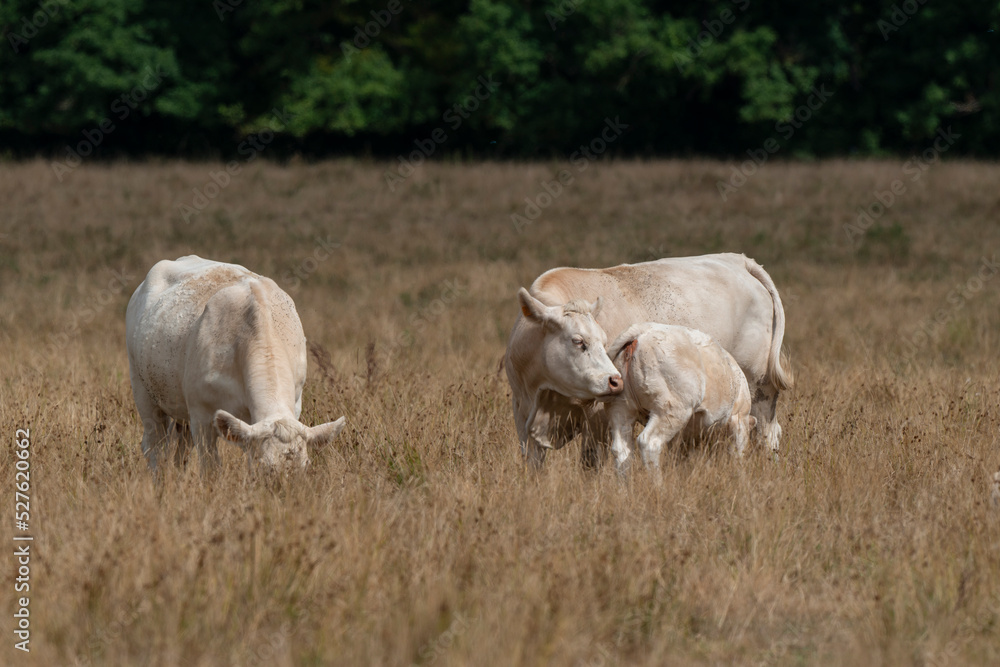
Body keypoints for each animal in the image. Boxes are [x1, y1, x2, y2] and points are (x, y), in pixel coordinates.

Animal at [125, 256, 348, 474]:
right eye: (266, 468)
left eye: (305, 467)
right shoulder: (201, 415)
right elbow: (210, 468)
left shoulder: (294, 404)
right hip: (143, 392)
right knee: (154, 446)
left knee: (179, 448)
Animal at [600, 320, 756, 472]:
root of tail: (642, 331)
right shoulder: (739, 417)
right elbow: (738, 453)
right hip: (670, 410)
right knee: (649, 443)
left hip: (620, 408)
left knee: (621, 450)